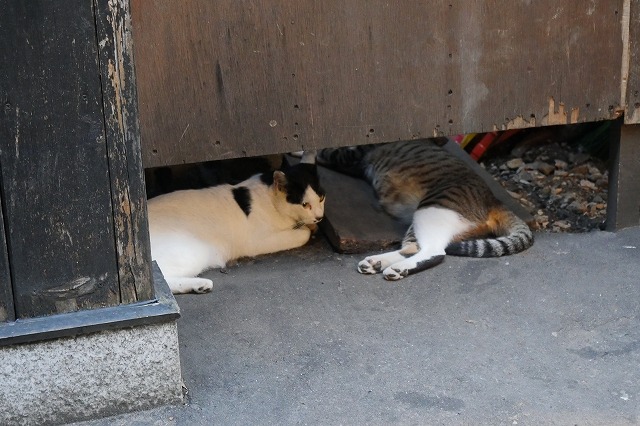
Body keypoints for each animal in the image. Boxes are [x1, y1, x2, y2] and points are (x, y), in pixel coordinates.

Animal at [147, 153, 325, 294]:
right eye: (305, 204)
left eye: (321, 198)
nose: (319, 217)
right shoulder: (257, 242)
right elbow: (303, 234)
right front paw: (307, 228)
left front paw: (311, 225)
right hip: (188, 253)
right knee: (162, 281)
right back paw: (200, 284)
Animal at [316, 139, 533, 280]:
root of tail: (493, 200)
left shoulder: (352, 155)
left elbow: (325, 152)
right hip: (422, 219)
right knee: (413, 248)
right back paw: (378, 263)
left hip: (431, 208)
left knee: (434, 251)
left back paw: (397, 268)